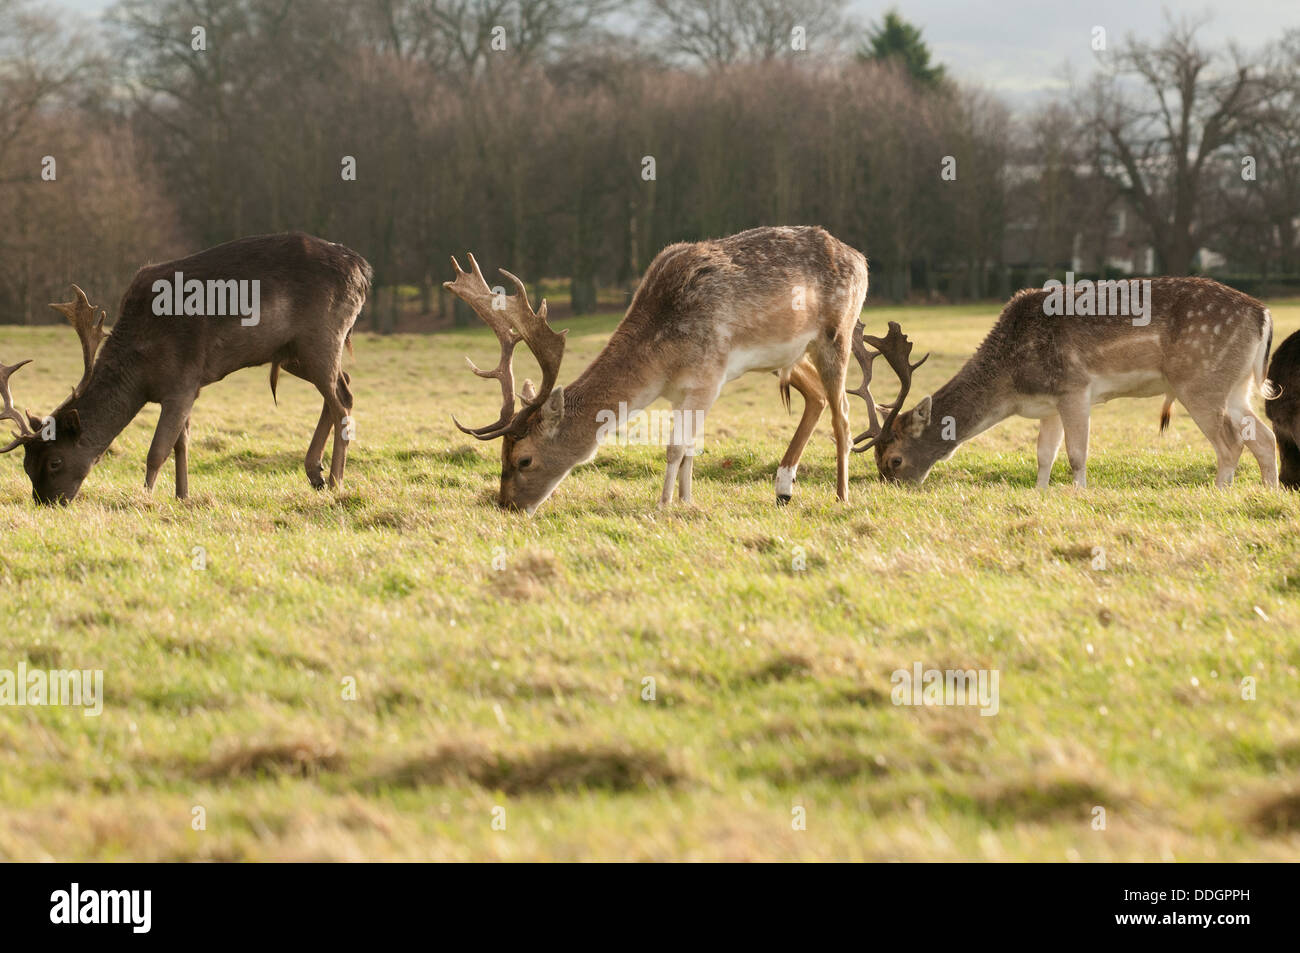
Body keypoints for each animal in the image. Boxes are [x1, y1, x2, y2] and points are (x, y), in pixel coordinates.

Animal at [3, 231, 371, 501]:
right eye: (26, 465)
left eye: (55, 461)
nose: (46, 502)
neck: (140, 369)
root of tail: (363, 269)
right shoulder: (189, 387)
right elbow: (181, 442)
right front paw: (182, 496)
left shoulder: (181, 381)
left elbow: (158, 449)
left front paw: (146, 498)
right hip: (294, 353)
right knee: (345, 385)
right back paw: (315, 473)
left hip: (321, 335)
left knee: (342, 402)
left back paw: (335, 481)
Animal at [441, 223, 868, 512]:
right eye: (501, 455)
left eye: (524, 459)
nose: (507, 506)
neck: (662, 364)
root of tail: (861, 259)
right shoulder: (683, 392)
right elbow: (689, 447)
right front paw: (686, 502)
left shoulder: (709, 376)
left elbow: (675, 446)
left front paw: (663, 505)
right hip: (788, 357)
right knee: (817, 397)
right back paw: (783, 489)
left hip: (836, 333)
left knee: (844, 415)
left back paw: (841, 496)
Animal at [847, 273, 1274, 483]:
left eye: (896, 459)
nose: (894, 487)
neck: (1012, 382)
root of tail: (1263, 314)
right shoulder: (1049, 405)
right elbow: (1043, 456)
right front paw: (1041, 494)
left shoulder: (1074, 388)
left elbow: (1076, 455)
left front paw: (1079, 495)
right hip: (1236, 386)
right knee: (1263, 437)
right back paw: (1267, 494)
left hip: (1199, 380)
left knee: (1230, 443)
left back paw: (1220, 493)